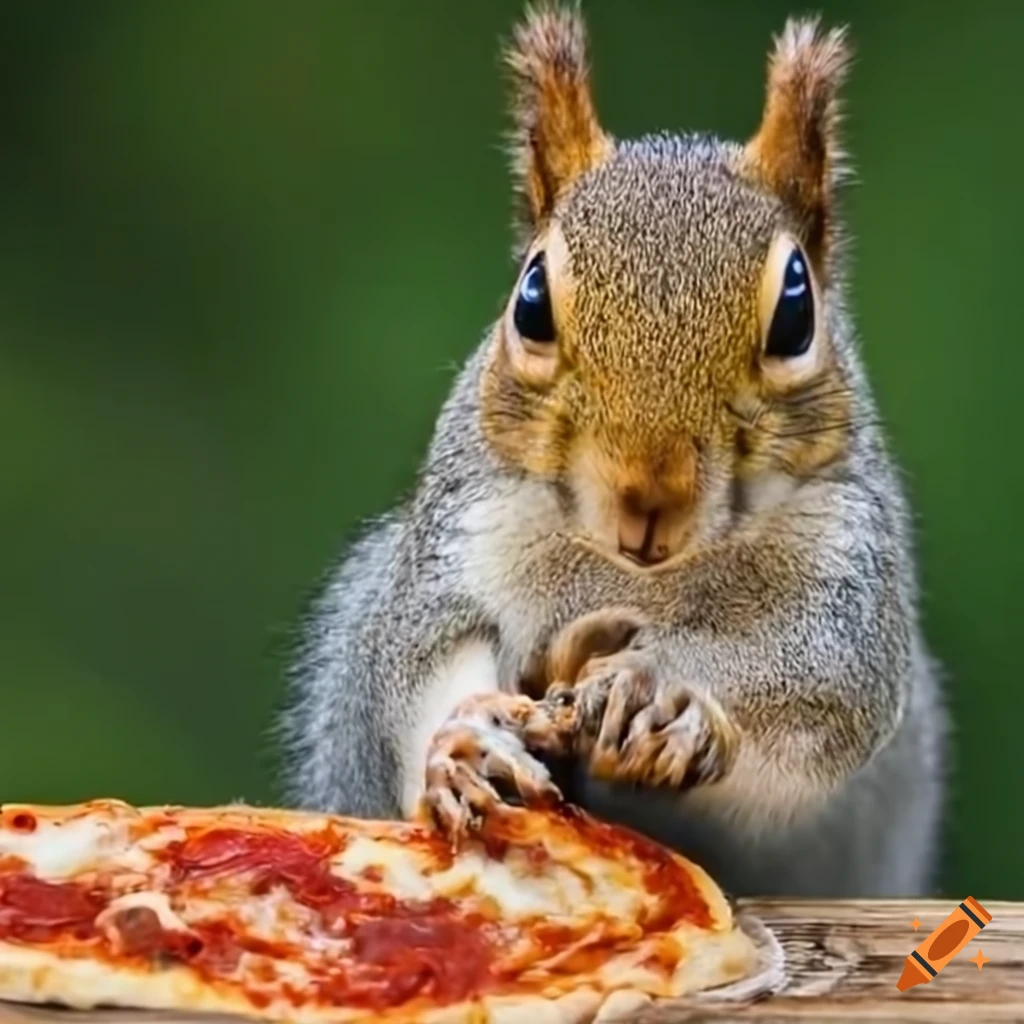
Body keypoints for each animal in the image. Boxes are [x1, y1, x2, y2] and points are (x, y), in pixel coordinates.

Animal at [279, 2, 947, 898]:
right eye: (531, 299)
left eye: (797, 313)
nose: (648, 495)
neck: (638, 577)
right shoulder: (456, 536)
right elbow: (418, 651)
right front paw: (463, 740)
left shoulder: (849, 562)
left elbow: (828, 680)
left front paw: (667, 685)